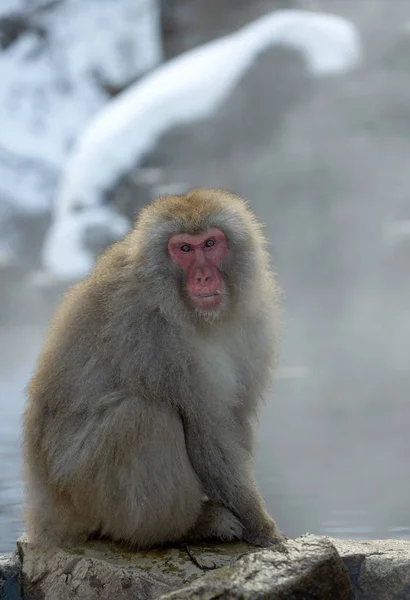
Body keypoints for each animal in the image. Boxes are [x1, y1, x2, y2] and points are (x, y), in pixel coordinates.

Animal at [24, 190, 284, 552]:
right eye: (184, 249)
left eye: (210, 243)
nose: (204, 277)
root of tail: (43, 516)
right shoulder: (154, 333)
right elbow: (207, 430)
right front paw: (261, 526)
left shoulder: (252, 320)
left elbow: (235, 417)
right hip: (78, 487)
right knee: (143, 415)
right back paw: (182, 529)